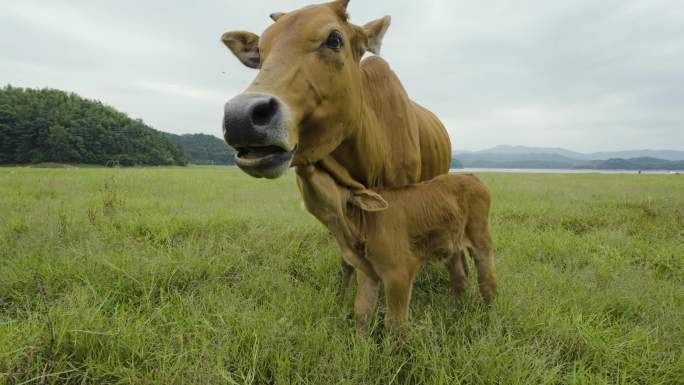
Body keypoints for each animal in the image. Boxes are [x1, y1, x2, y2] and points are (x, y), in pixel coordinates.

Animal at [296, 164, 494, 332]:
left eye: (331, 176)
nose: (306, 166)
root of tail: (470, 176)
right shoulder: (367, 271)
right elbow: (362, 311)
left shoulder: (400, 272)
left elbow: (395, 322)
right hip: (450, 244)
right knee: (460, 278)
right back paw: (454, 311)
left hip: (480, 236)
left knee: (487, 279)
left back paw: (489, 316)